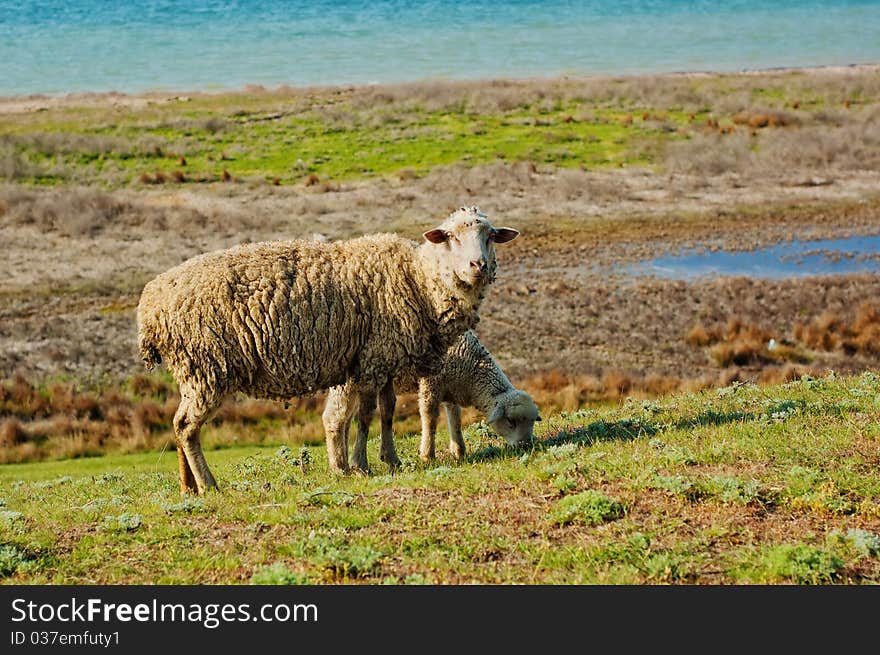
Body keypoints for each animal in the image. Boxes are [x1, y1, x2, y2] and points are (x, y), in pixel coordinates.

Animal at [134, 205, 512, 492]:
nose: (479, 266)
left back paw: (188, 486)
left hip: (191, 372)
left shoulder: (384, 357)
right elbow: (366, 414)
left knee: (180, 424)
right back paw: (209, 484)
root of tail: (150, 305)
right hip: (206, 366)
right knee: (186, 426)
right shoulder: (372, 359)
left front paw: (390, 459)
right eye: (452, 237)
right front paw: (361, 464)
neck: (419, 281)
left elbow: (387, 411)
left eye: (490, 236)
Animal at [324, 330, 544, 474]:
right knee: (333, 417)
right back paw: (340, 467)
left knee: (345, 419)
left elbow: (455, 420)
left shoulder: (451, 389)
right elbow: (430, 418)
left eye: (532, 422)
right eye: (510, 421)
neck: (473, 368)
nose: (526, 446)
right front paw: (427, 455)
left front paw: (459, 451)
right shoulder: (432, 382)